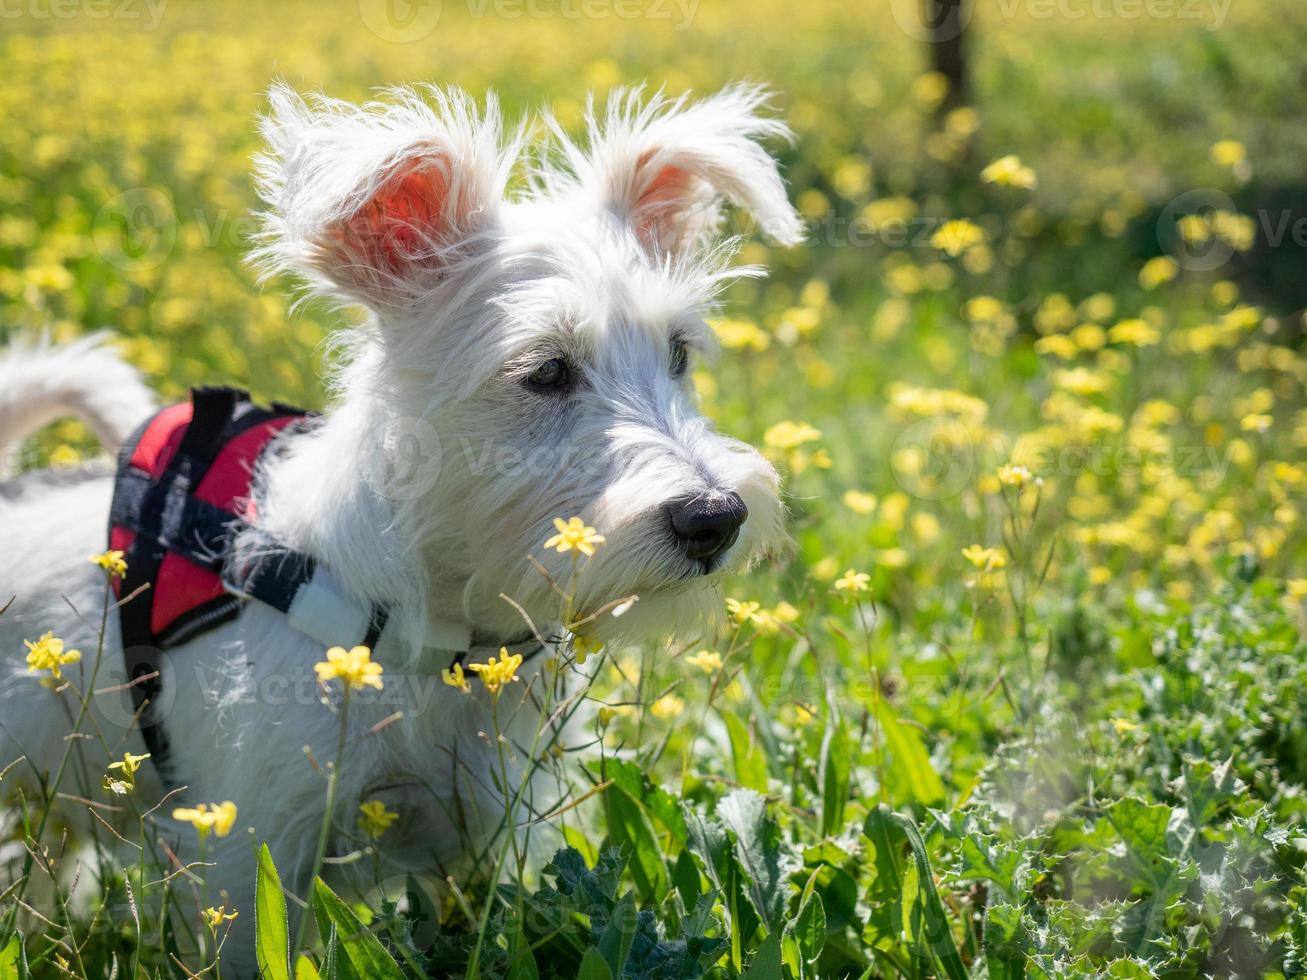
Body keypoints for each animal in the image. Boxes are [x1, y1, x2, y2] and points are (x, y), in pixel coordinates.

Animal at [0, 80, 794, 972]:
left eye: (679, 352)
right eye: (546, 371)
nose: (715, 516)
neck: (424, 628)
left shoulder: (471, 840)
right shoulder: (245, 860)